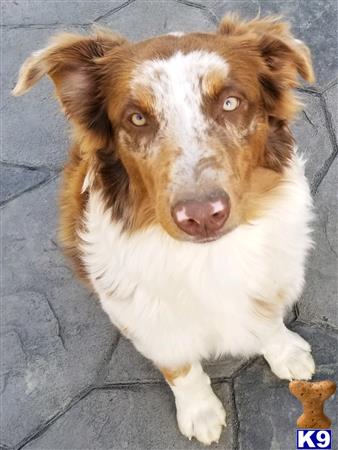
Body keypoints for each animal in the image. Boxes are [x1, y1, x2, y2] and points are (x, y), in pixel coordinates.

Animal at [12, 14, 314, 446]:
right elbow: (180, 368)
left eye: (230, 102)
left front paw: (286, 353)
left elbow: (269, 320)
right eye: (137, 118)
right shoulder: (145, 319)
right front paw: (201, 413)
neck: (208, 257)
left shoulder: (274, 279)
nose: (202, 216)